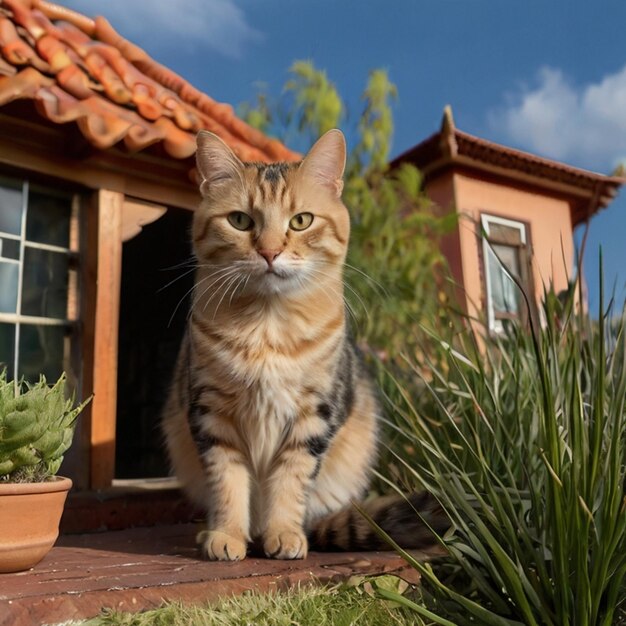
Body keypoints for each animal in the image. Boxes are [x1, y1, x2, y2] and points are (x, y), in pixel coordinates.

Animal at [161, 129, 436, 560]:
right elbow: (228, 481)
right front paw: (226, 534)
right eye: (240, 220)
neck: (267, 327)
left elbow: (290, 481)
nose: (270, 252)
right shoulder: (211, 412)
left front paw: (284, 534)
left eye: (301, 220)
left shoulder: (313, 416)